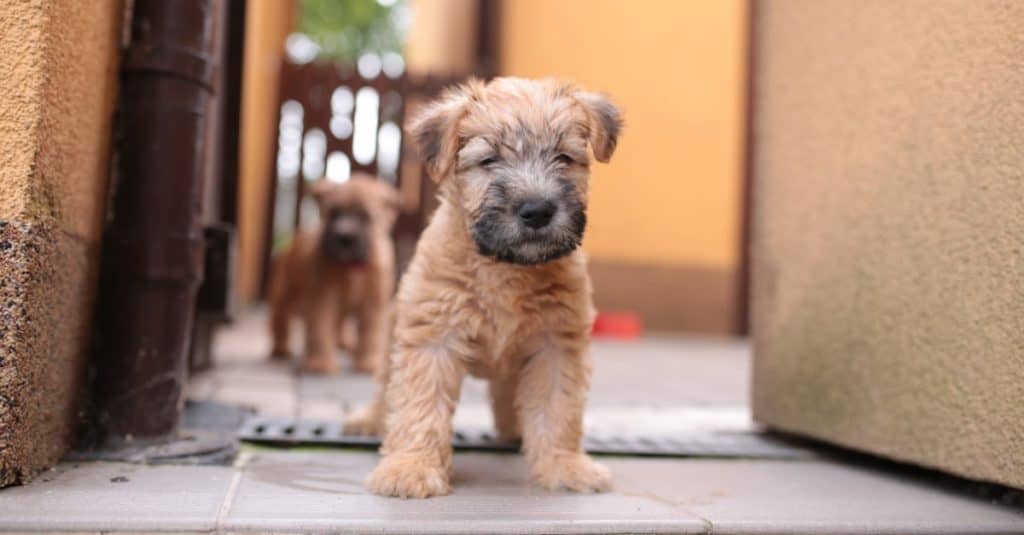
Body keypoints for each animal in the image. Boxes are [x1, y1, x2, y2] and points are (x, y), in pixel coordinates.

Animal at [268, 173, 399, 373]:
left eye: (364, 216)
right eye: (334, 213)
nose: (344, 238)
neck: (351, 266)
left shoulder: (374, 302)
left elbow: (371, 333)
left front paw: (369, 361)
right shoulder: (323, 297)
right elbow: (320, 328)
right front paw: (319, 363)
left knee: (339, 324)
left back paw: (345, 343)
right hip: (285, 293)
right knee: (280, 320)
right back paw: (280, 349)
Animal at [350, 74, 622, 496]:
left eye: (564, 157)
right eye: (489, 160)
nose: (536, 211)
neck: (506, 268)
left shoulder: (556, 345)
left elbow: (557, 408)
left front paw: (563, 466)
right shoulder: (433, 337)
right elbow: (419, 405)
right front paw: (412, 468)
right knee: (385, 388)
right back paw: (369, 420)